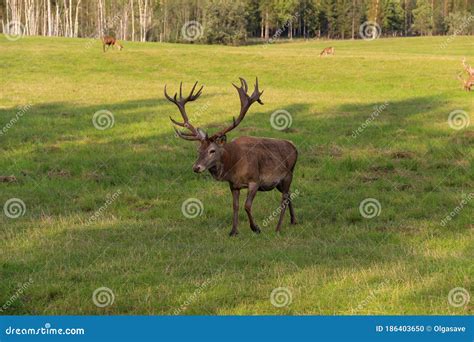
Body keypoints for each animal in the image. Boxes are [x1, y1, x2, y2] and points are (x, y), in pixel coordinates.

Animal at [164, 79, 296, 236]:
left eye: (212, 150)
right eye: (198, 150)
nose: (196, 167)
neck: (234, 165)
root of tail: (294, 147)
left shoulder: (255, 181)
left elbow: (247, 205)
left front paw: (256, 228)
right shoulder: (233, 185)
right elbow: (235, 206)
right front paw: (233, 231)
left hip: (288, 175)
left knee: (284, 199)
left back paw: (278, 228)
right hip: (280, 183)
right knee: (289, 194)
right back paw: (293, 221)